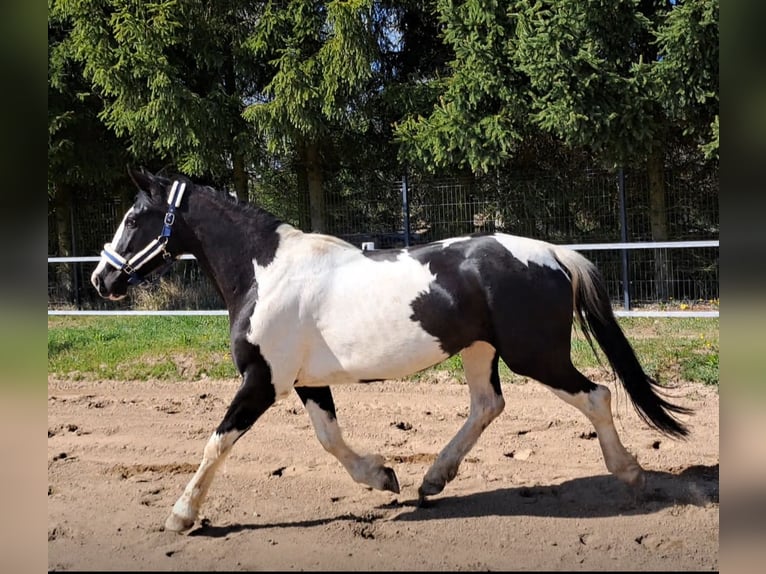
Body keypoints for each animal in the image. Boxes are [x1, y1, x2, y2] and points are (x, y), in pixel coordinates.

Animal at [91, 168, 691, 533]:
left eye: (132, 218)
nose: (102, 279)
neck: (267, 273)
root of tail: (551, 252)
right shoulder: (306, 382)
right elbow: (329, 438)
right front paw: (382, 477)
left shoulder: (262, 380)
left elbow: (218, 441)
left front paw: (181, 515)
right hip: (480, 350)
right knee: (488, 405)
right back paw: (432, 479)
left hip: (535, 355)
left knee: (597, 395)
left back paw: (631, 475)